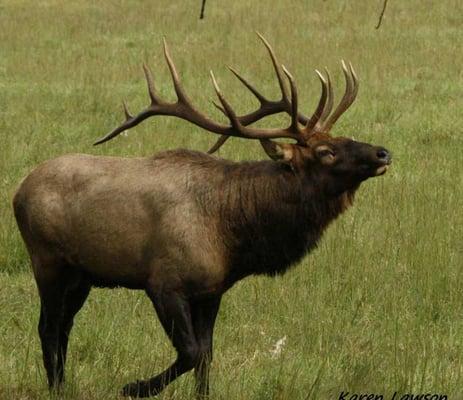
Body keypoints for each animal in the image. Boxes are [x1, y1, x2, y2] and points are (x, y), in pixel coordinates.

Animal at [12, 34, 392, 396]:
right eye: (326, 151)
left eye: (343, 137)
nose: (383, 152)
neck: (233, 234)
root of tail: (19, 191)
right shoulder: (164, 283)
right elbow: (191, 352)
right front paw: (135, 387)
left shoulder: (212, 290)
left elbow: (207, 355)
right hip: (47, 261)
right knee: (48, 326)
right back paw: (56, 386)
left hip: (82, 275)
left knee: (64, 325)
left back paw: (62, 385)